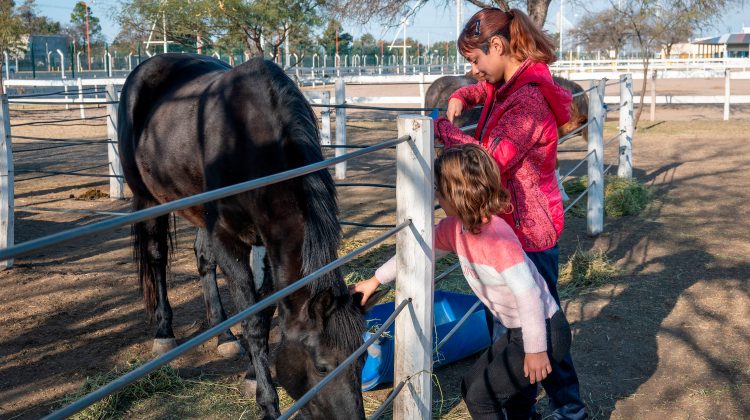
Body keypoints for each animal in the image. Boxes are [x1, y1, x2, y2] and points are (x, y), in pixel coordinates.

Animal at [119, 54, 376, 418]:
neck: (252, 141)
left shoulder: (267, 242)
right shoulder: (229, 239)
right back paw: (164, 332)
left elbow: (265, 311)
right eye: (322, 366)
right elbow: (252, 320)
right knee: (156, 256)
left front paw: (253, 375)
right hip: (148, 199)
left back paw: (224, 336)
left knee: (202, 260)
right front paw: (267, 401)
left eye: (363, 359)